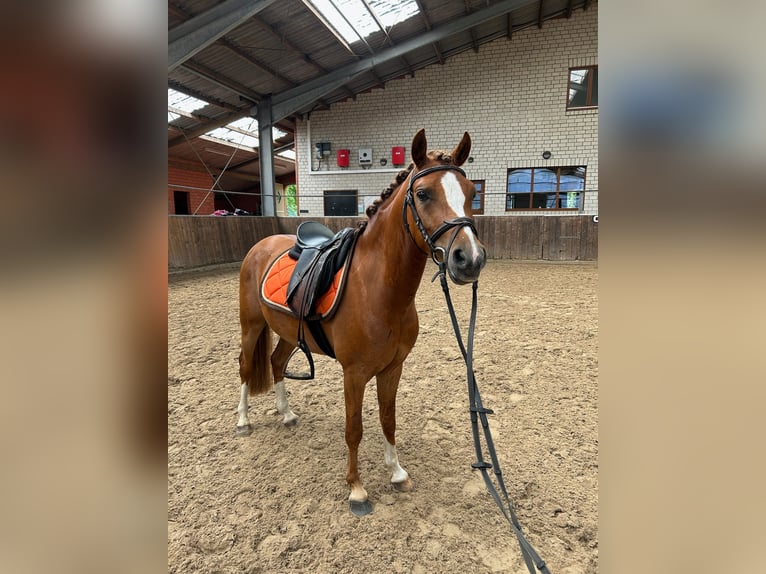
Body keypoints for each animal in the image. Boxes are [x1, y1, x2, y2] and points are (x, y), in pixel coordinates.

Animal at [235, 128, 487, 515]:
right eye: (423, 194)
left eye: (473, 193)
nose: (469, 259)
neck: (379, 290)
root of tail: (262, 244)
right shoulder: (353, 373)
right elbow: (353, 428)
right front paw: (356, 488)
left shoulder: (393, 368)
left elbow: (387, 419)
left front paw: (397, 473)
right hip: (251, 327)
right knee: (247, 367)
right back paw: (244, 421)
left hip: (288, 334)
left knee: (276, 363)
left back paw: (287, 414)